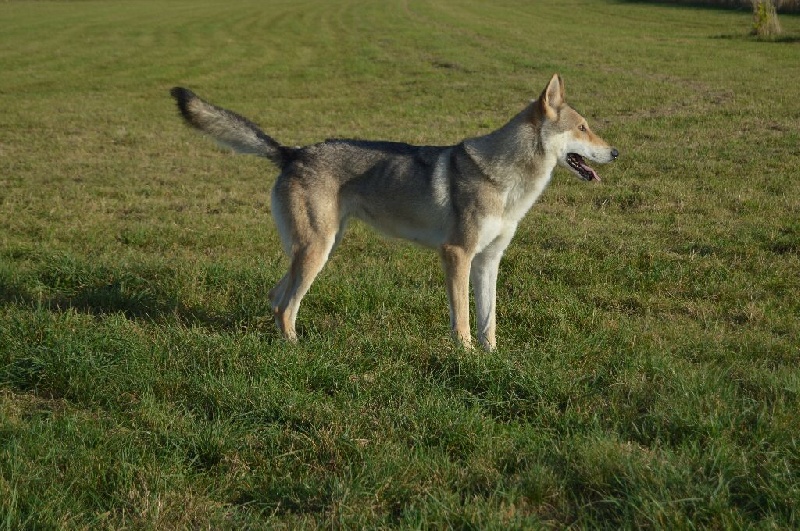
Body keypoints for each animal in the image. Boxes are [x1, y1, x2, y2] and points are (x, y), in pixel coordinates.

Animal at [169, 74, 620, 350]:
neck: (507, 181)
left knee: (275, 296)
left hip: (319, 249)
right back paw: (295, 348)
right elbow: (462, 320)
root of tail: (293, 152)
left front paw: (492, 359)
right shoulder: (456, 255)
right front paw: (466, 357)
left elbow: (489, 320)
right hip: (316, 252)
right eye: (582, 128)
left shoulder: (488, 261)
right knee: (284, 306)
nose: (616, 152)